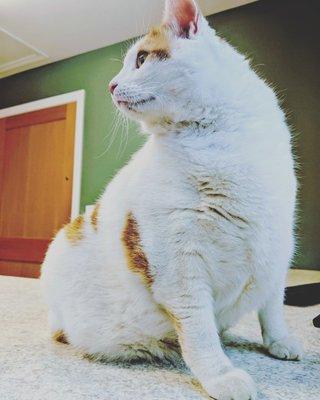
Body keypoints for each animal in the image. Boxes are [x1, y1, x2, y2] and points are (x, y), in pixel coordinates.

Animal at [42, 1, 302, 398]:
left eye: (142, 59)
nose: (110, 85)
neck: (215, 139)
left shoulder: (276, 246)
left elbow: (273, 307)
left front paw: (279, 343)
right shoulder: (180, 267)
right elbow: (200, 332)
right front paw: (221, 375)